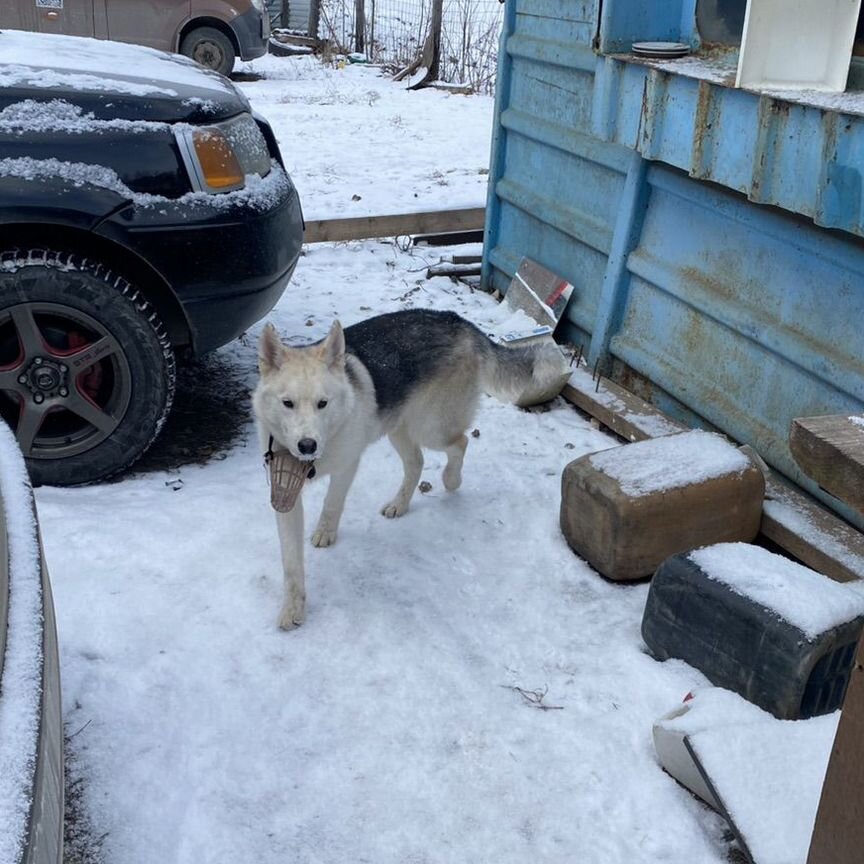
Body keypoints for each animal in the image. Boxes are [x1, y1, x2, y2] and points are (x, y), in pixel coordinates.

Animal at [253, 308, 572, 632]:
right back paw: (400, 504)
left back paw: (451, 479)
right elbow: (292, 563)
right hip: (400, 428)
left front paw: (326, 532)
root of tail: (459, 321)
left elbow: (332, 504)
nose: (307, 446)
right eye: (287, 403)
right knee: (417, 462)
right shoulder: (284, 494)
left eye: (322, 403)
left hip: (431, 428)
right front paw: (293, 607)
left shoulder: (347, 465)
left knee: (460, 443)